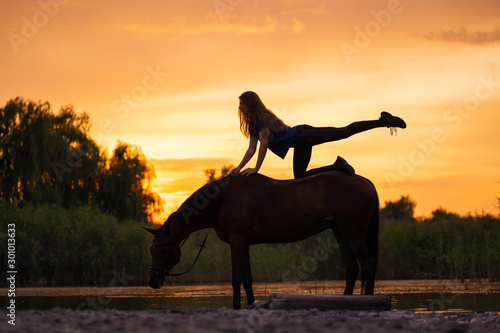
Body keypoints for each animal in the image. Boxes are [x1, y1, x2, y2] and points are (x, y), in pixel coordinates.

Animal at [145, 171, 378, 308]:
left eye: (163, 249)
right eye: (151, 250)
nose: (153, 282)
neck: (222, 200)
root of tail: (363, 180)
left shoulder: (237, 241)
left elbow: (236, 278)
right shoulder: (244, 243)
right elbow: (247, 278)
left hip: (354, 234)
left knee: (367, 266)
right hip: (340, 234)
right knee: (352, 270)